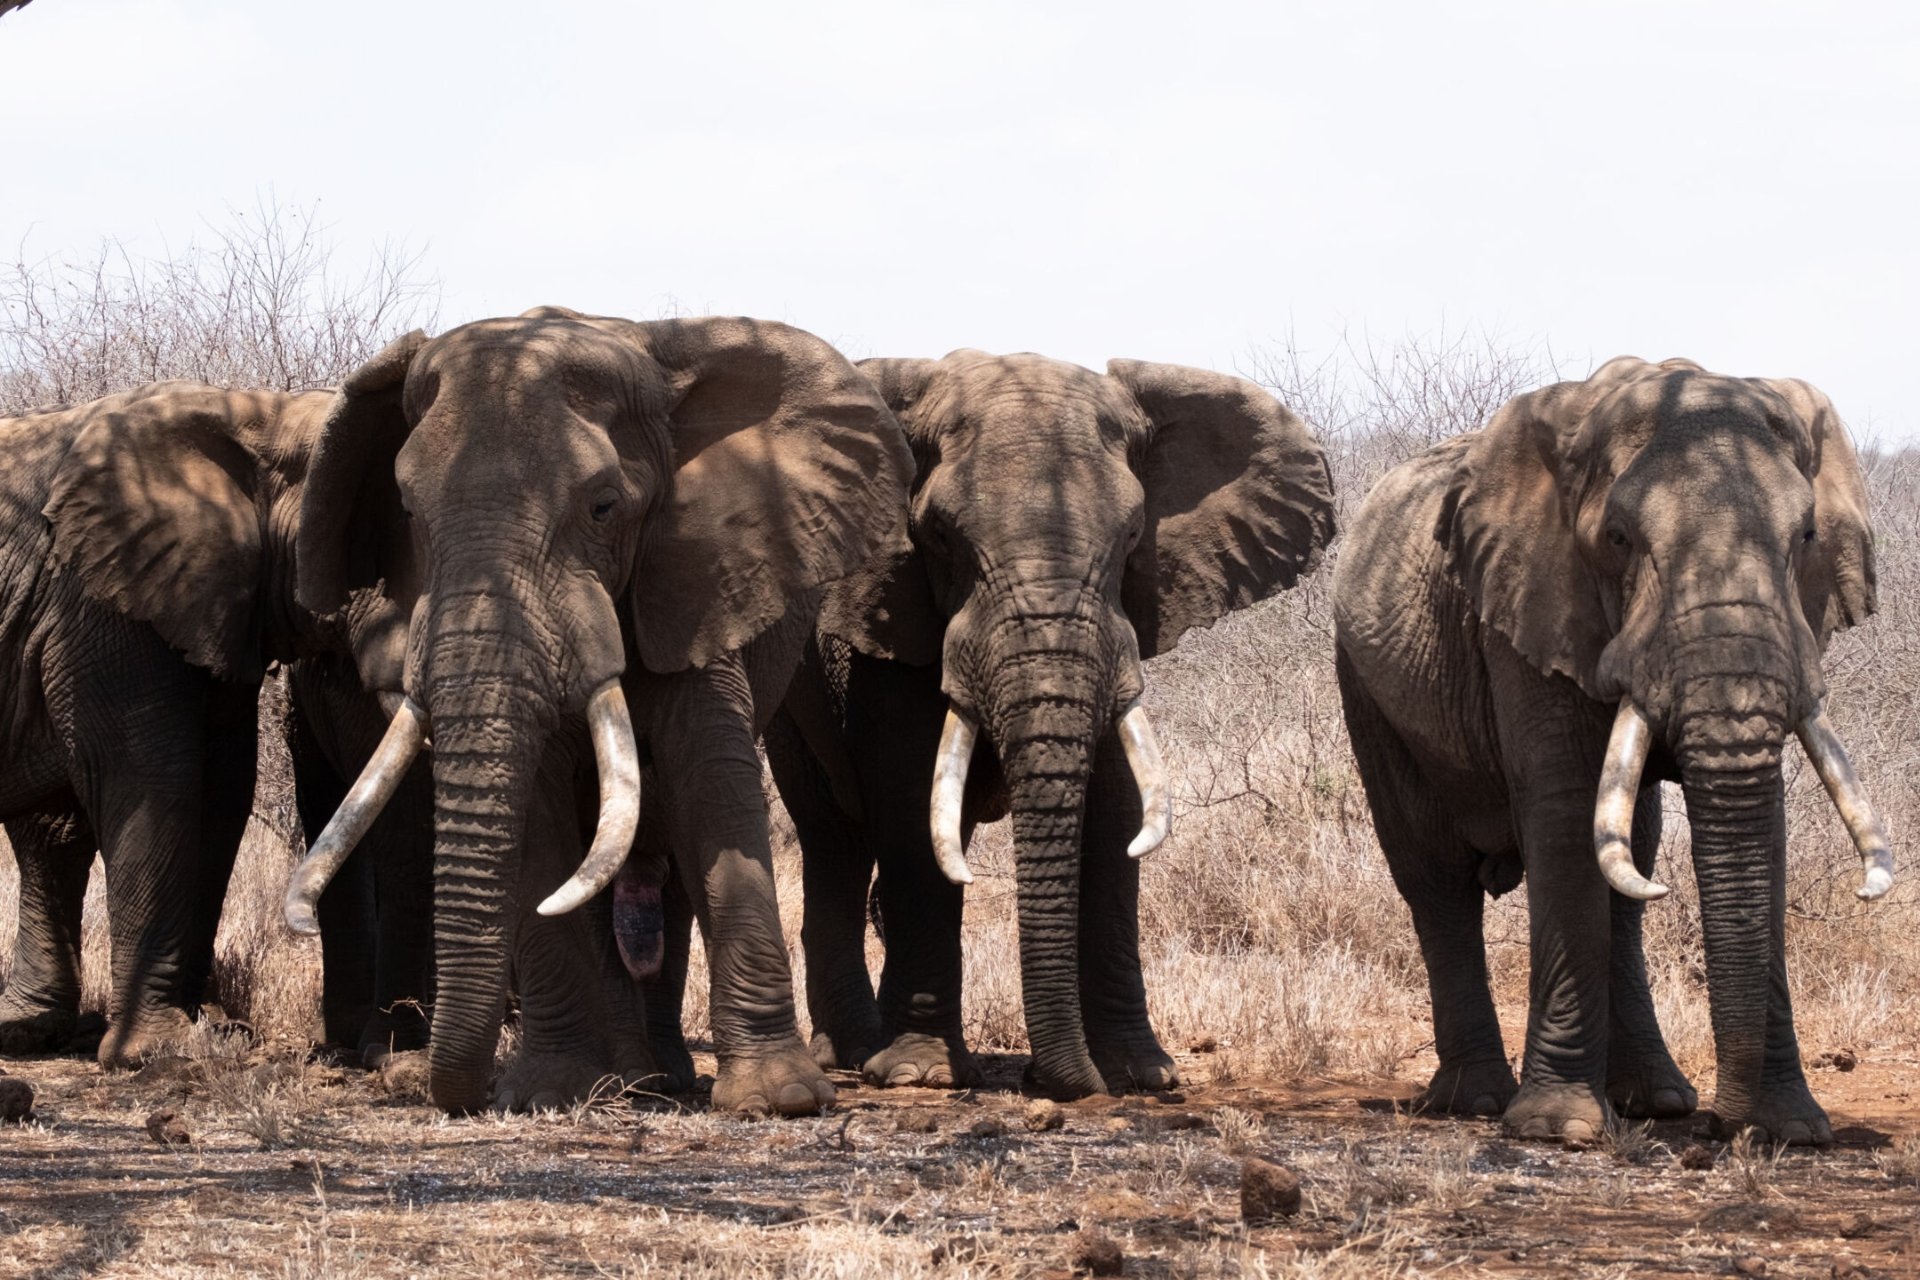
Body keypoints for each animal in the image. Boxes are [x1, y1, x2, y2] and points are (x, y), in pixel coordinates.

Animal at [0, 382, 429, 1066]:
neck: (267, 419)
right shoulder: (101, 600)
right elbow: (153, 776)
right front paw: (158, 1050)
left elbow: (222, 785)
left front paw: (215, 1032)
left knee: (50, 830)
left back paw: (29, 1031)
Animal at [282, 307, 914, 1116]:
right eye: (410, 513)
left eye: (604, 506)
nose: (430, 1086)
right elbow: (543, 811)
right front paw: (547, 1091)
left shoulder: (692, 580)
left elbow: (711, 783)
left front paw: (781, 1100)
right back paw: (630, 1078)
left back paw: (659, 1077)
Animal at [757, 350, 1335, 1100]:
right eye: (939, 538)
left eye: (1132, 536)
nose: (1060, 1081)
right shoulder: (885, 630)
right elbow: (911, 805)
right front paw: (922, 1075)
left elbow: (1117, 814)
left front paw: (1139, 1074)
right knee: (835, 838)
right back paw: (854, 1053)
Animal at [1333, 356, 1890, 1145]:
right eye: (1619, 539)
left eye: (1808, 534)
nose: (1722, 1129)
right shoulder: (1530, 606)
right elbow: (1566, 815)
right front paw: (1557, 1128)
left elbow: (1761, 827)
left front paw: (1791, 1130)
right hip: (1368, 688)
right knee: (1434, 877)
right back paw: (1477, 1101)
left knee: (1634, 864)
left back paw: (1657, 1101)